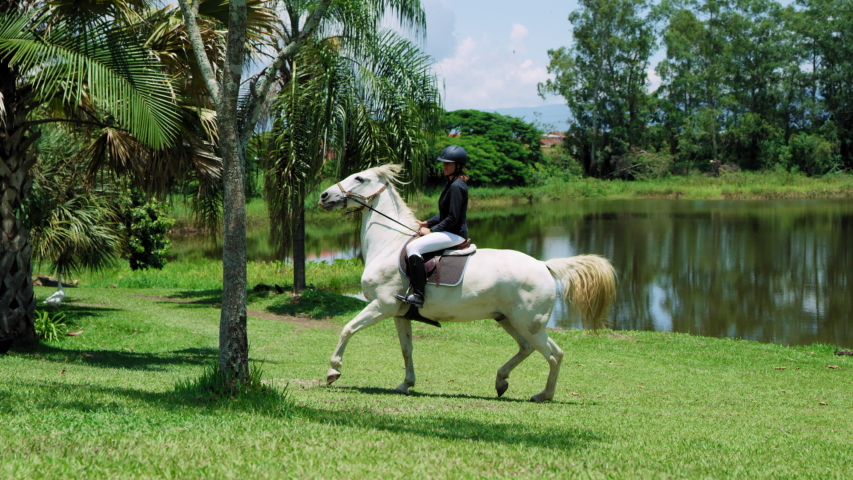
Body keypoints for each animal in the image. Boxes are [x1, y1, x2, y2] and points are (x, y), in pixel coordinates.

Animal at [318, 165, 617, 402]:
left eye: (359, 178)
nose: (323, 196)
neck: (389, 245)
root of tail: (544, 265)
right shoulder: (400, 313)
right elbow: (406, 349)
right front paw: (406, 384)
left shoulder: (382, 306)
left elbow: (347, 329)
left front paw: (333, 371)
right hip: (510, 321)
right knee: (530, 348)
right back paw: (501, 381)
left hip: (529, 324)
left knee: (553, 355)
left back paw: (543, 395)